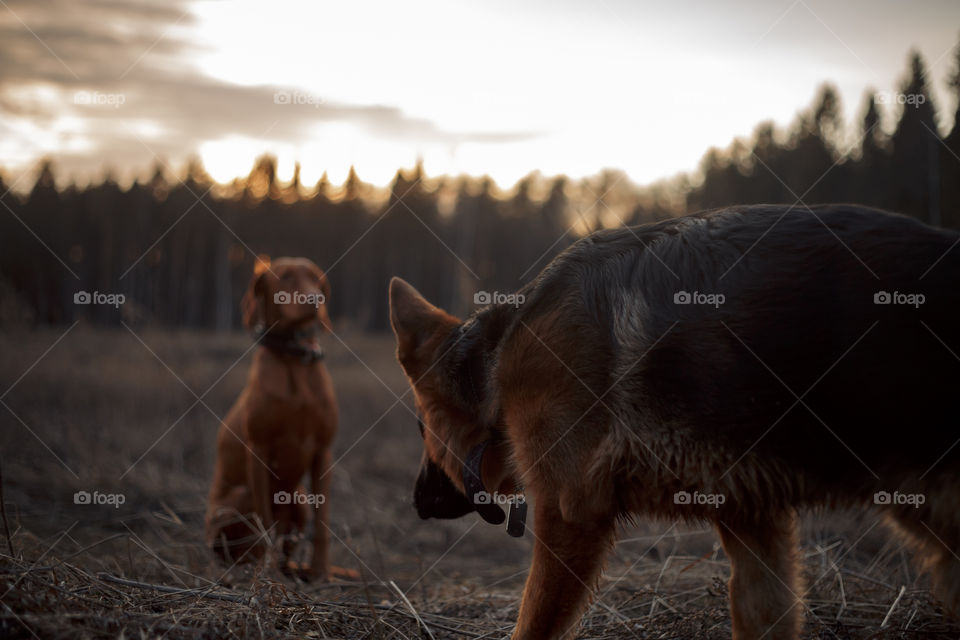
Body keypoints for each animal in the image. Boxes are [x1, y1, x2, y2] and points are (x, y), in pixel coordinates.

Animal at [204, 255, 354, 580]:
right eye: (285, 277)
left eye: (315, 278)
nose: (315, 300)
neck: (294, 360)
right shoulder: (258, 451)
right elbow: (265, 523)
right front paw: (268, 573)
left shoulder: (323, 452)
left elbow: (322, 524)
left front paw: (321, 573)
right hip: (238, 497)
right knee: (240, 544)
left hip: (299, 499)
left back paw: (296, 569)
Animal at [388, 206, 960, 640]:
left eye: (419, 427)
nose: (416, 502)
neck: (498, 356)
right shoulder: (751, 517)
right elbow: (763, 612)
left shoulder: (569, 516)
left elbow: (532, 626)